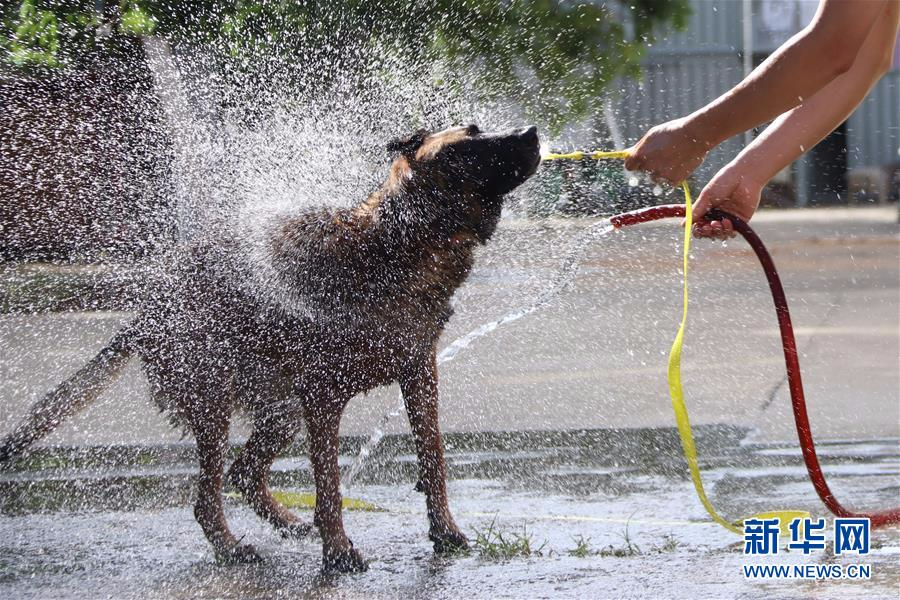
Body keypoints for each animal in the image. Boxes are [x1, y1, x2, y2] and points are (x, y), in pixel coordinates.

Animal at [0, 124, 540, 576]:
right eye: (468, 147)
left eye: (478, 129)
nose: (531, 132)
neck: (396, 245)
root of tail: (148, 309)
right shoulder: (324, 396)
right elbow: (330, 489)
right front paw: (338, 553)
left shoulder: (419, 373)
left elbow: (434, 461)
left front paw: (445, 533)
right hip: (215, 402)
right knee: (208, 497)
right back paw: (234, 548)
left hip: (280, 411)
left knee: (242, 473)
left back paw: (288, 524)